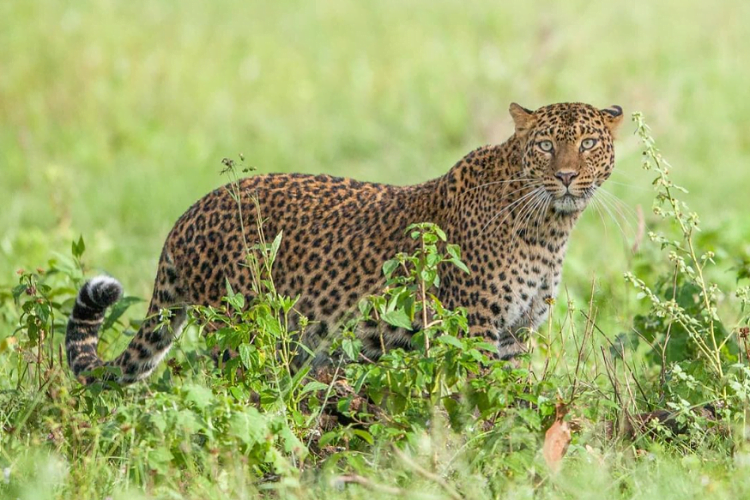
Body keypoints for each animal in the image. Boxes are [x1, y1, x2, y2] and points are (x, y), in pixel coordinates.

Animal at [67, 100, 624, 382]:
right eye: (546, 144)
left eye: (588, 143)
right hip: (240, 332)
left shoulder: (514, 336)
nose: (568, 176)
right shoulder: (474, 332)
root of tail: (186, 215)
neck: (550, 228)